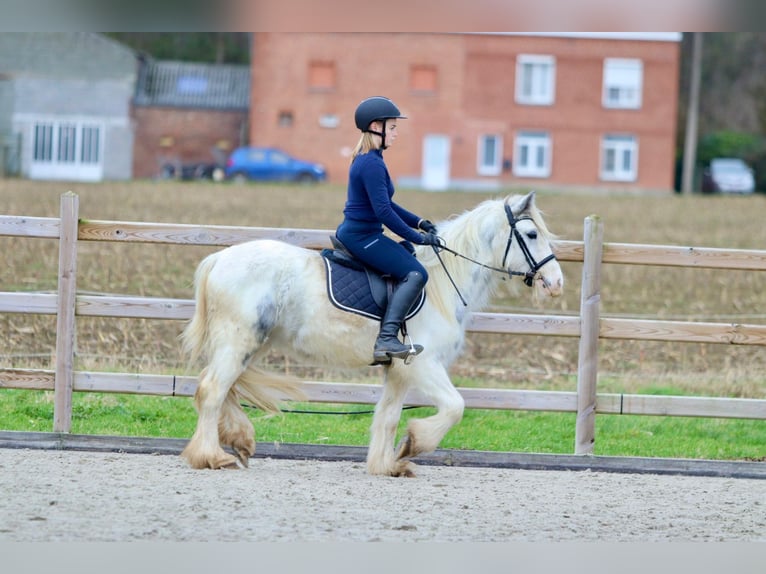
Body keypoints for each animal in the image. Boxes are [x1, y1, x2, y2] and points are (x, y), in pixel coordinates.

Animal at [180, 191, 564, 480]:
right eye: (532, 235)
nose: (556, 283)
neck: (443, 282)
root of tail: (219, 259)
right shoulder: (424, 364)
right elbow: (455, 406)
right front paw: (415, 444)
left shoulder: (400, 370)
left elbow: (388, 416)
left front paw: (387, 465)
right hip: (239, 342)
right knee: (212, 389)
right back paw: (212, 456)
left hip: (250, 344)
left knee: (224, 386)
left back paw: (239, 440)